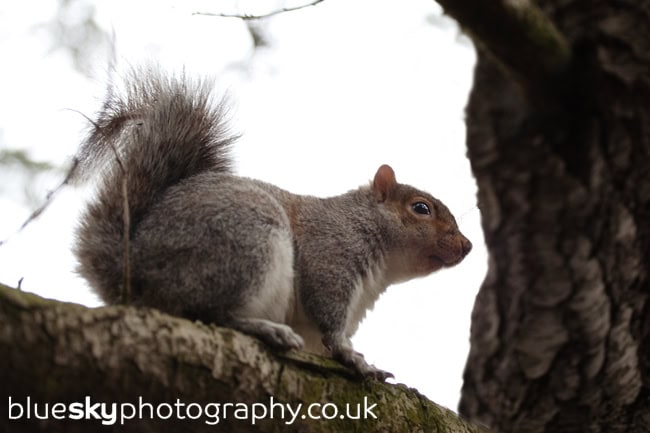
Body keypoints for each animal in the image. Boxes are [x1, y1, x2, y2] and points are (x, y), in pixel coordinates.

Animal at [73, 67, 472, 381]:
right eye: (421, 208)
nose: (467, 245)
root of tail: (135, 271)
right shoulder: (331, 254)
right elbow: (329, 317)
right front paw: (354, 357)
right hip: (244, 244)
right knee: (206, 313)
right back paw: (265, 329)